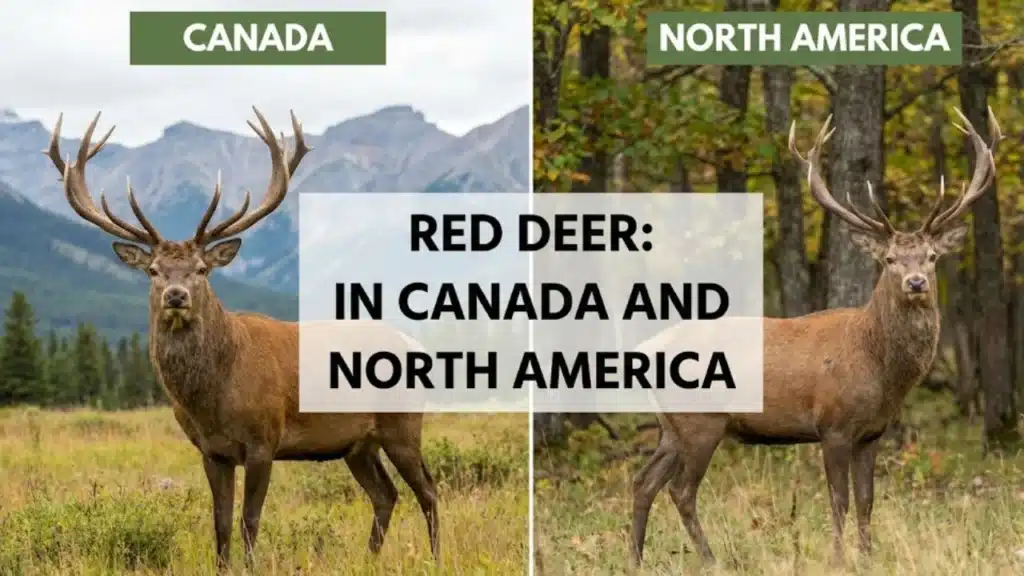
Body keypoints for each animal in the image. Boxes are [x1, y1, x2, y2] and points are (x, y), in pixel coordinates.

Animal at [43, 108, 440, 570]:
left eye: (201, 269)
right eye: (154, 270)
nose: (175, 296)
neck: (213, 396)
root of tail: (417, 347)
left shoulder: (263, 440)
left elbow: (250, 520)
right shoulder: (211, 451)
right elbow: (220, 523)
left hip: (402, 424)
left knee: (428, 490)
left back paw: (435, 558)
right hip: (357, 444)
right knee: (385, 494)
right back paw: (369, 560)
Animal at [629, 106, 1001, 567]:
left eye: (931, 257)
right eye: (890, 258)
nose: (915, 282)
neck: (882, 371)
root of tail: (645, 350)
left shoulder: (872, 433)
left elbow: (867, 500)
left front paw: (868, 557)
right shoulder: (833, 424)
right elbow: (838, 499)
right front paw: (840, 559)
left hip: (671, 427)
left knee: (643, 481)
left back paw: (635, 559)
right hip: (701, 422)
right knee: (681, 490)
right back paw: (711, 560)